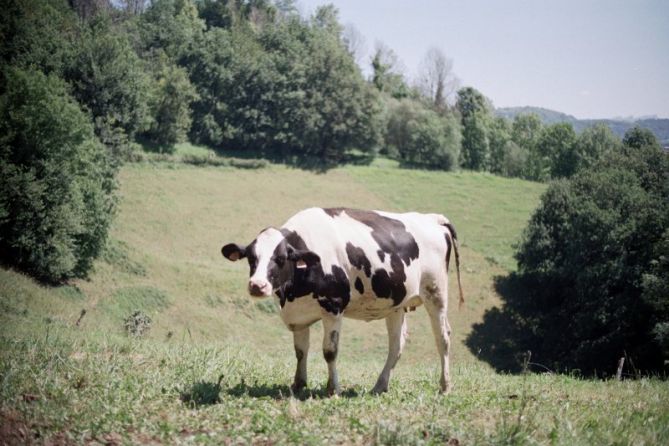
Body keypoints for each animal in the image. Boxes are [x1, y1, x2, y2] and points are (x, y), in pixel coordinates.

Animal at [222, 207, 462, 396]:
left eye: (280, 259)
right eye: (251, 258)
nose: (257, 285)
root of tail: (433, 218)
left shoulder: (333, 306)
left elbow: (330, 351)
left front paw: (333, 389)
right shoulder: (298, 314)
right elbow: (300, 351)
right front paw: (298, 384)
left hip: (435, 292)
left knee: (443, 337)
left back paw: (445, 386)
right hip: (397, 303)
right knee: (397, 343)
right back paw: (380, 386)